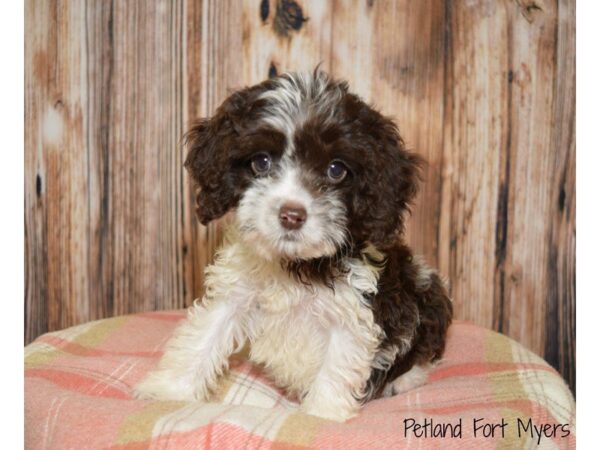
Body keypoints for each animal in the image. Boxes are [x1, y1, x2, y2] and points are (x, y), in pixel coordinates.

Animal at [136, 70, 452, 422]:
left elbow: (337, 366)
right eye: (261, 162)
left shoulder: (354, 312)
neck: (296, 262)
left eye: (336, 169)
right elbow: (205, 334)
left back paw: (405, 380)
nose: (291, 215)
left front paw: (321, 414)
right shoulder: (236, 291)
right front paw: (170, 389)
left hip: (429, 292)